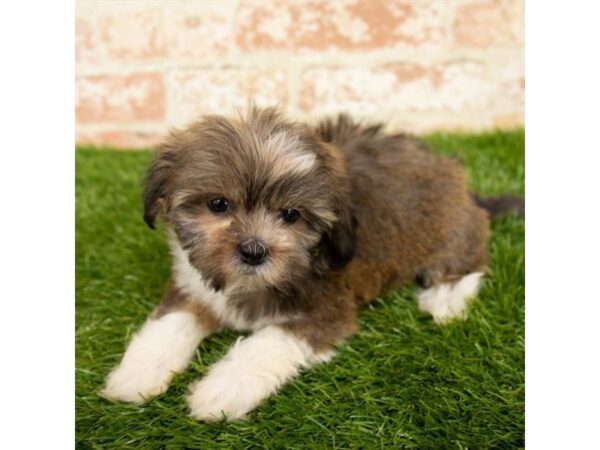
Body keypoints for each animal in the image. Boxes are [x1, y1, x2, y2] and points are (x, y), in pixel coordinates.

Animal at [99, 106, 520, 422]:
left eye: (291, 215)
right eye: (218, 204)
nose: (254, 250)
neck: (246, 283)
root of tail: (464, 188)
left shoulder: (326, 310)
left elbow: (267, 344)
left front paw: (221, 389)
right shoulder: (193, 288)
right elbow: (169, 324)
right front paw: (137, 373)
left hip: (451, 232)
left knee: (467, 259)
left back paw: (444, 299)